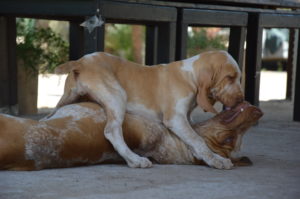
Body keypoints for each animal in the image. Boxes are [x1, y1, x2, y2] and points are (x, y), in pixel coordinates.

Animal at [54, 50, 244, 169]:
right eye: (230, 77)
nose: (242, 100)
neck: (189, 76)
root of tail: (81, 62)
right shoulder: (175, 119)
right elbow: (197, 139)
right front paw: (216, 161)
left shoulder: (186, 119)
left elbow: (193, 139)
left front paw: (211, 157)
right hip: (117, 96)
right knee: (112, 131)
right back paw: (134, 160)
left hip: (67, 99)